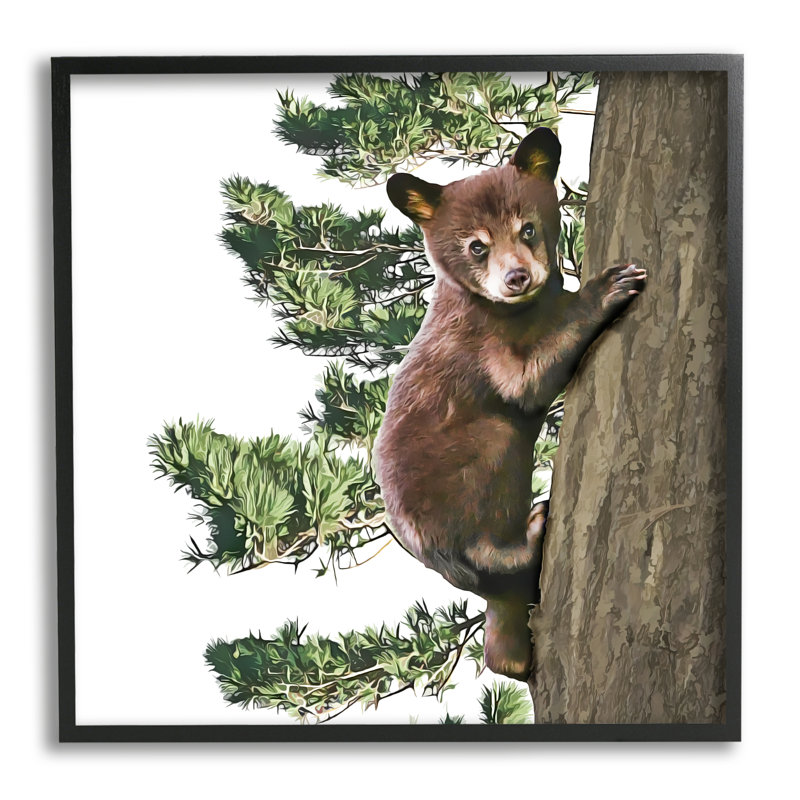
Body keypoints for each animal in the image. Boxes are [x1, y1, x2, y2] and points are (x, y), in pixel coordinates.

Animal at [373, 128, 646, 681]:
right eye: (476, 246)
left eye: (528, 229)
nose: (516, 277)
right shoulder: (479, 342)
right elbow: (525, 382)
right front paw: (607, 287)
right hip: (462, 482)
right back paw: (531, 534)